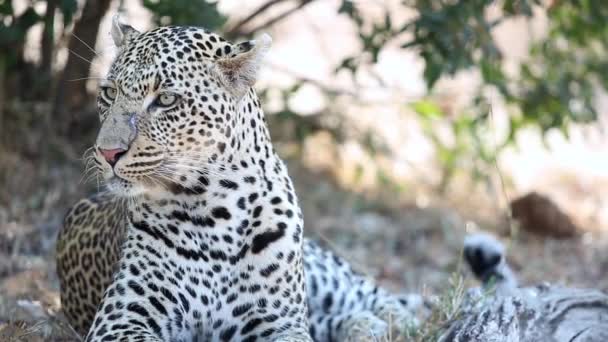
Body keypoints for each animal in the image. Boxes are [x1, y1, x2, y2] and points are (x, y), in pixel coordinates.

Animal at [57, 16, 422, 342]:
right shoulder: (121, 321)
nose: (107, 152)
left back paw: (397, 320)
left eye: (166, 99)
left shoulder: (282, 322)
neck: (216, 212)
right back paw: (365, 325)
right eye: (109, 92)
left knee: (367, 291)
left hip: (319, 272)